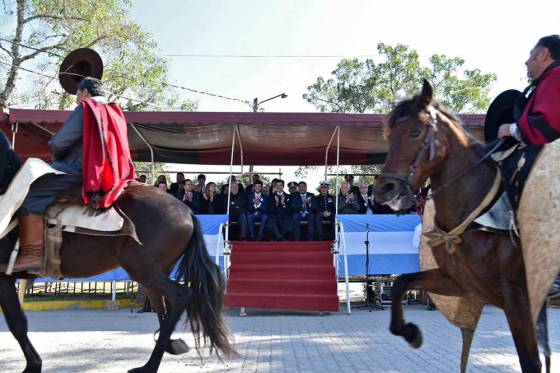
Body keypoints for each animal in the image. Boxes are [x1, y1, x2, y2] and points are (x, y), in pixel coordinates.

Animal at [0, 138, 234, 370]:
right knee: (164, 307)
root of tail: (188, 212)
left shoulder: (3, 278)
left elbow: (17, 323)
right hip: (153, 272)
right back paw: (168, 346)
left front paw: (33, 365)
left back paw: (149, 366)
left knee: (179, 296)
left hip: (143, 270)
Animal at [374, 81, 544, 372]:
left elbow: (530, 362)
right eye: (390, 135)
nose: (384, 189)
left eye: (415, 132)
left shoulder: (518, 300)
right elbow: (400, 283)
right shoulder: (460, 282)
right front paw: (410, 332)